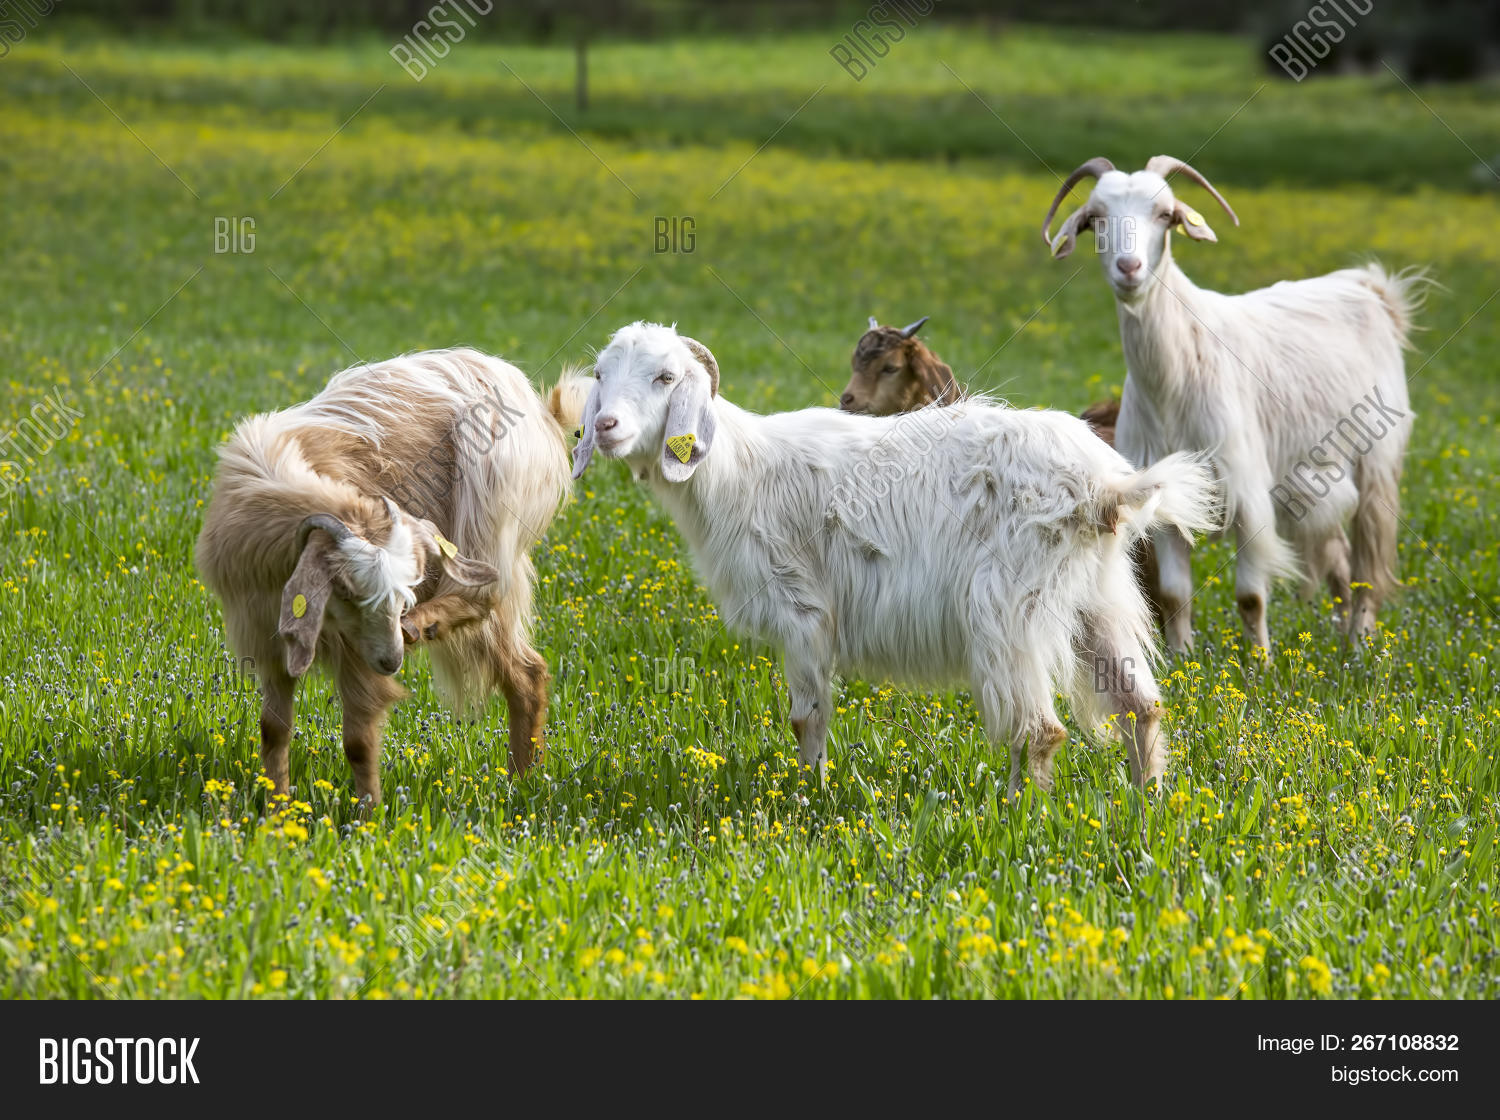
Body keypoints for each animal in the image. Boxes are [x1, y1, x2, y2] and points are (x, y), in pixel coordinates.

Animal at [196, 349, 586, 808]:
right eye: (346, 591)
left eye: (403, 593)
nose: (393, 659)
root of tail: (542, 407)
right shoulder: (267, 638)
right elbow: (273, 730)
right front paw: (276, 810)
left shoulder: (356, 653)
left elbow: (358, 742)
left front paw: (369, 815)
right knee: (526, 673)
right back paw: (521, 781)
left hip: (489, 518)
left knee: (483, 593)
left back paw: (423, 627)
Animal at [572, 321, 1219, 791]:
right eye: (600, 374)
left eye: (665, 377)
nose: (605, 425)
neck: (740, 470)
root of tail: (1105, 488)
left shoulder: (802, 611)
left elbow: (806, 717)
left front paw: (808, 796)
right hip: (1098, 602)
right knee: (1140, 708)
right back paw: (1147, 803)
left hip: (1007, 609)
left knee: (1040, 731)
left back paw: (1018, 817)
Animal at [1044, 155, 1424, 652]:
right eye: (1096, 219)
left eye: (1165, 214)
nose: (1130, 267)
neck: (1175, 379)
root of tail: (1371, 290)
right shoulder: (1165, 494)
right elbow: (1174, 593)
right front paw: (1184, 660)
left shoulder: (1246, 488)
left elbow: (1250, 596)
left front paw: (1260, 661)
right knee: (1340, 558)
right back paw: (1343, 641)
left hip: (1377, 461)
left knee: (1369, 561)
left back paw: (1360, 640)